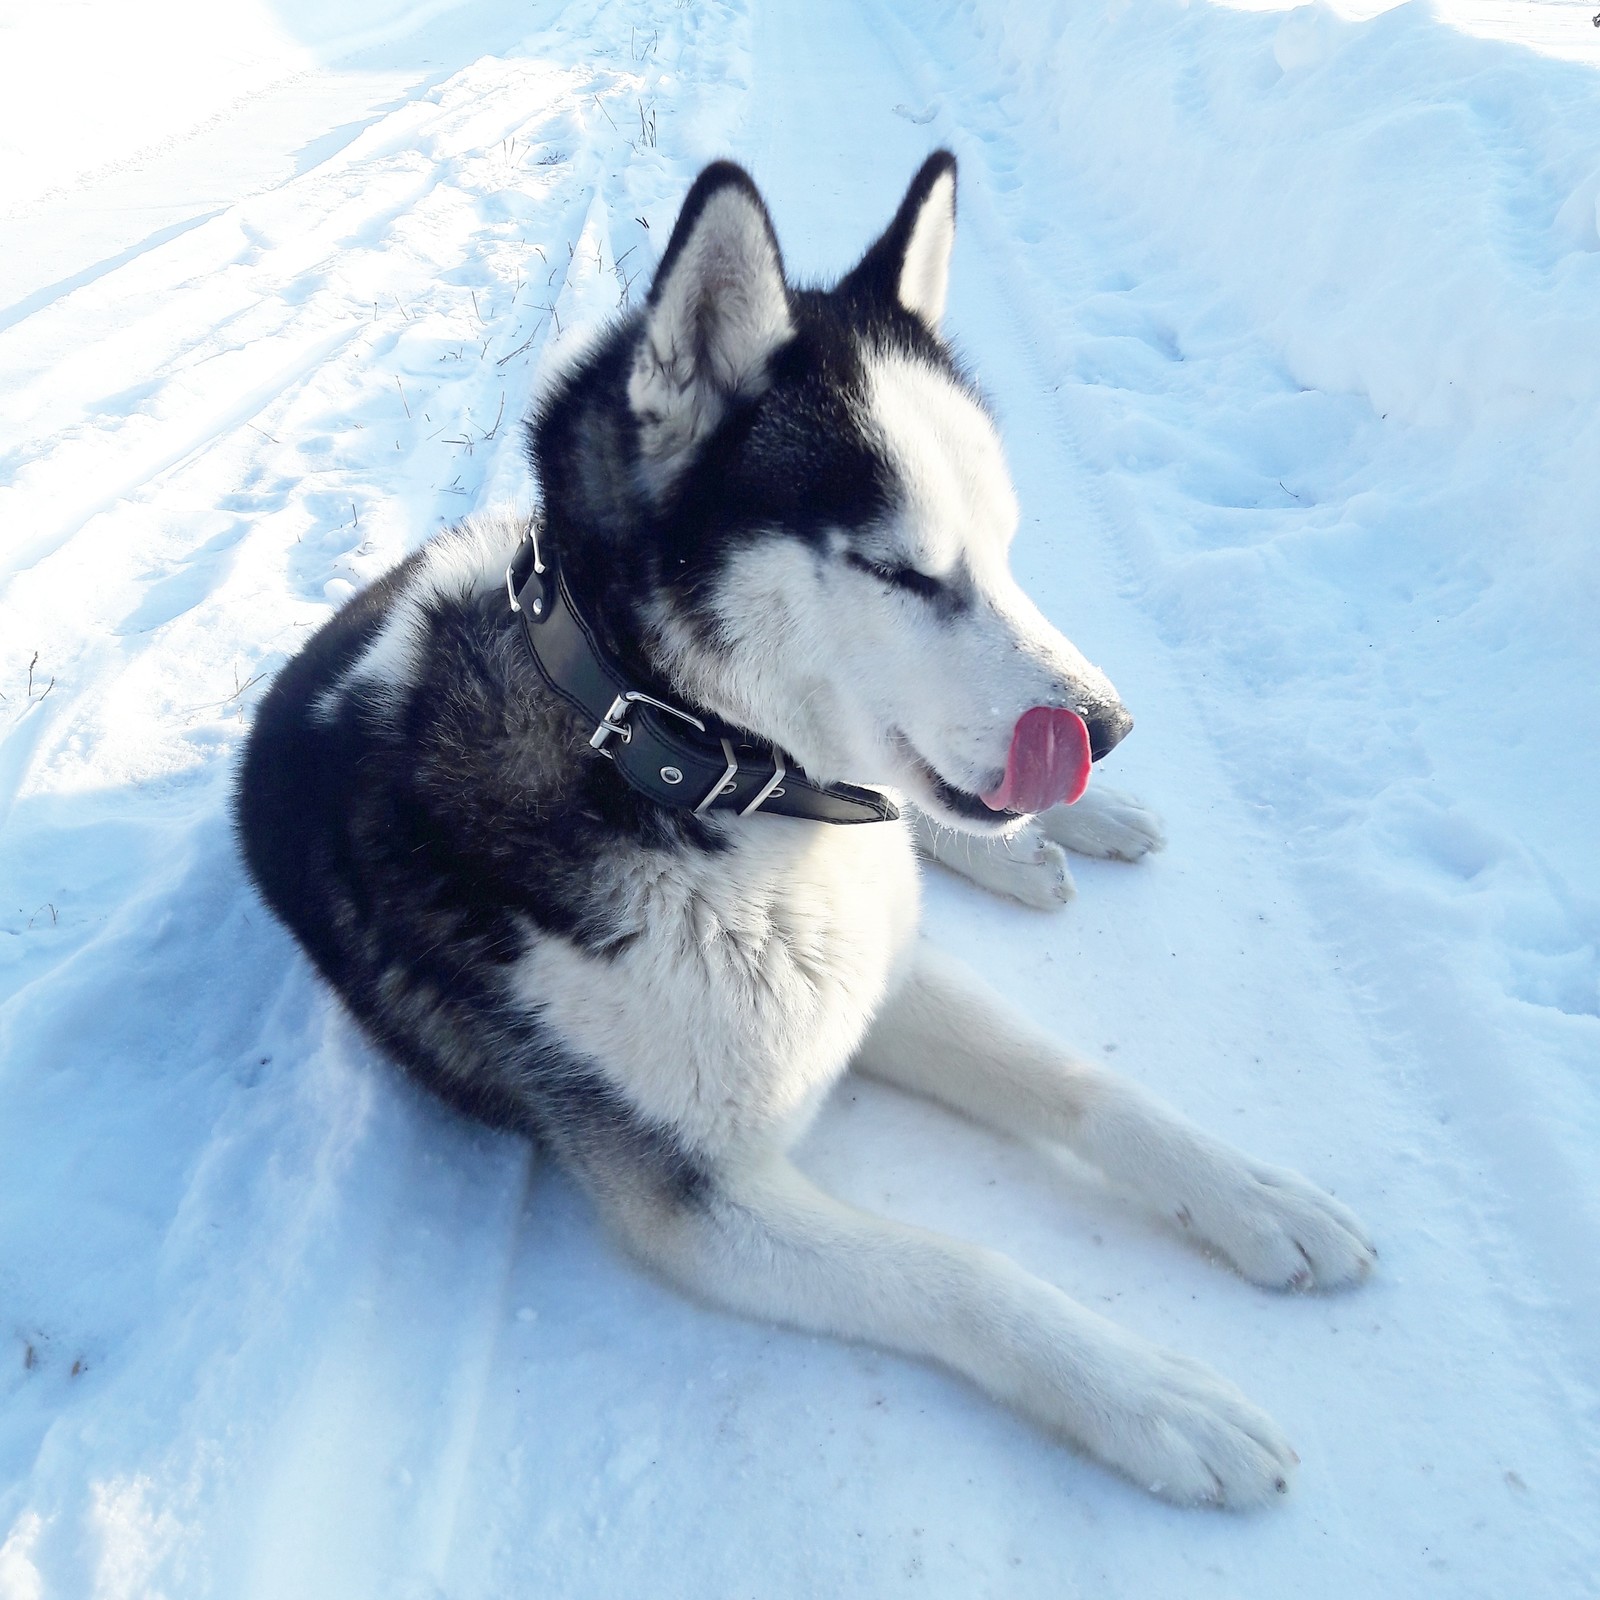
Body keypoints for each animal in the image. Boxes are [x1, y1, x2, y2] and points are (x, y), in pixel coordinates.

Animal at [236, 150, 1376, 1497]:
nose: (1106, 729)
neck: (679, 769)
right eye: (899, 570)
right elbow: (960, 1270)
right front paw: (1148, 1394)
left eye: (1007, 545)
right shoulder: (702, 1199)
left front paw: (1253, 1195)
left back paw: (1053, 842)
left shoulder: (882, 960)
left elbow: (1083, 1084)